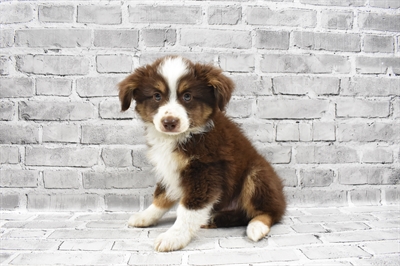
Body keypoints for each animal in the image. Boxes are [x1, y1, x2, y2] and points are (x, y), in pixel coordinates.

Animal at [117, 55, 286, 251]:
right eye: (157, 96)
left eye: (187, 96)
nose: (169, 122)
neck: (183, 137)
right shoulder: (170, 170)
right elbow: (161, 196)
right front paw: (145, 216)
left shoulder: (206, 172)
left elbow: (188, 209)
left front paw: (173, 236)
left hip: (257, 174)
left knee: (271, 212)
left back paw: (256, 226)